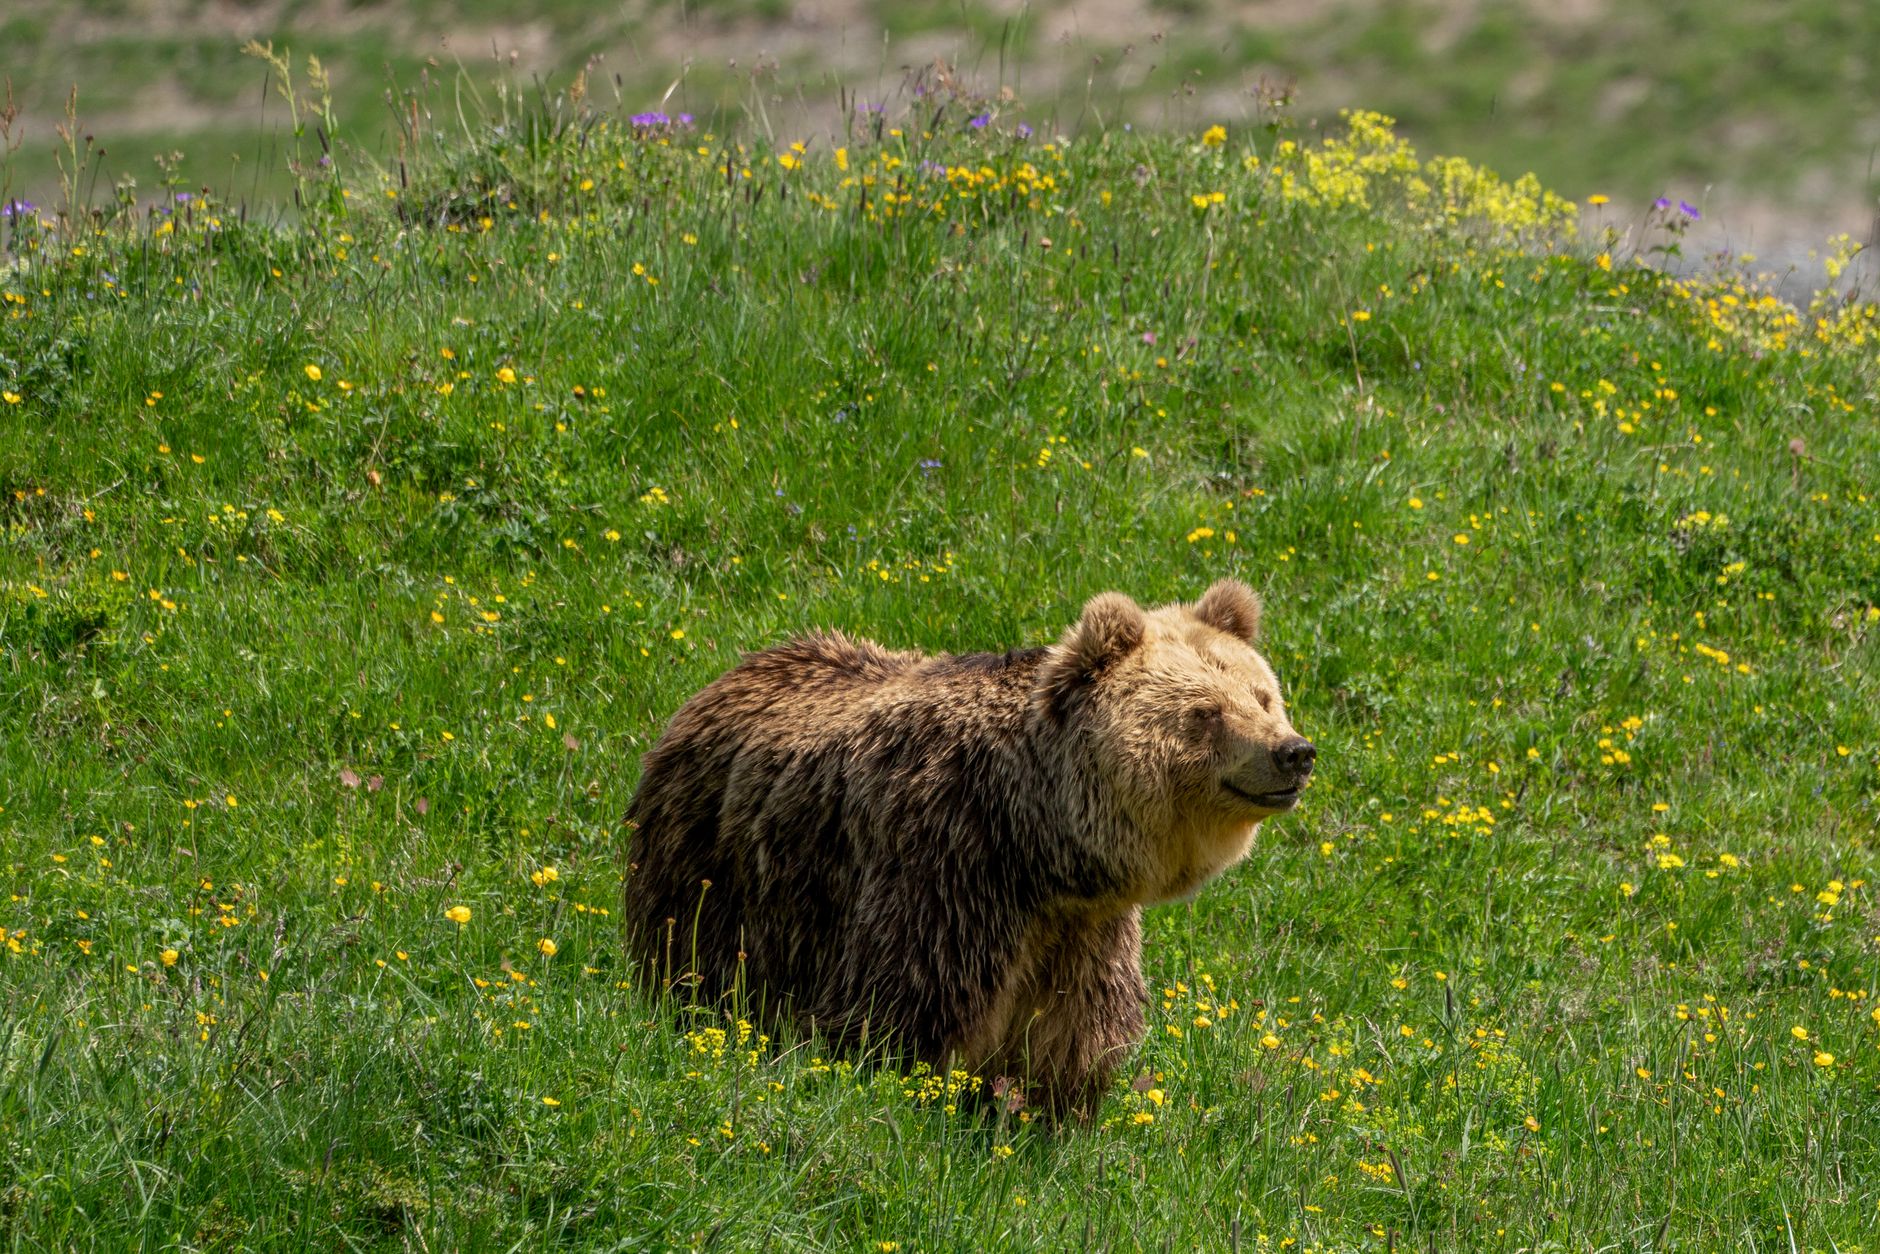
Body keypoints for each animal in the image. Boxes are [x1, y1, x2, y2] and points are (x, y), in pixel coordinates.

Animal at [623, 578, 1314, 1116]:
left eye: (1262, 697)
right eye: (1205, 713)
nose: (1294, 751)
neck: (1037, 841)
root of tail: (724, 678)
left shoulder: (1082, 929)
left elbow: (1074, 1034)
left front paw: (1043, 1117)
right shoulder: (946, 869)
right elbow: (902, 1008)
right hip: (720, 874)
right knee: (697, 962)